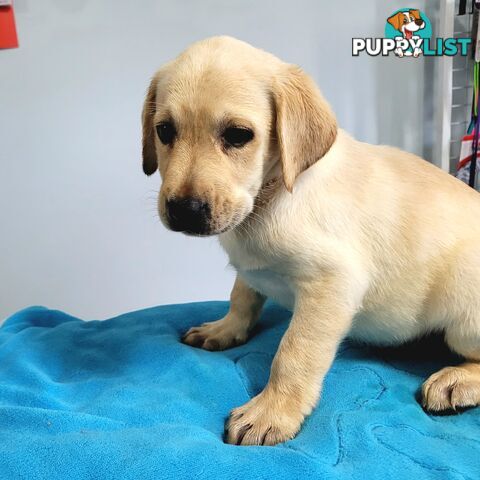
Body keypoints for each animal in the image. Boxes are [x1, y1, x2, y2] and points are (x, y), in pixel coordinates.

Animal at [142, 36, 480, 446]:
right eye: (164, 131)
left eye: (238, 135)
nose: (185, 210)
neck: (271, 196)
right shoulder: (252, 270)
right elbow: (242, 296)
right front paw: (224, 329)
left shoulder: (332, 283)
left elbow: (293, 353)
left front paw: (272, 411)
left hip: (463, 313)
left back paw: (456, 379)